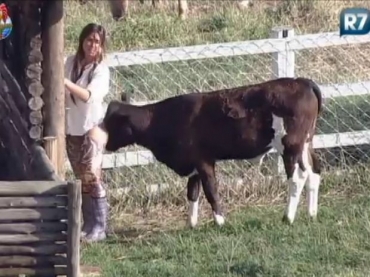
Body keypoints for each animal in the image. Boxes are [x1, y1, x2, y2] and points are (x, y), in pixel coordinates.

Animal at [102, 76, 322, 225]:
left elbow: (211, 190)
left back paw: (288, 217)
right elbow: (192, 192)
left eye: (111, 123)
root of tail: (302, 82)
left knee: (297, 177)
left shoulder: (203, 160)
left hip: (290, 145)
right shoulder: (192, 163)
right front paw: (191, 224)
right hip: (305, 143)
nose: (103, 144)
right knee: (314, 171)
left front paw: (220, 221)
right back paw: (311, 213)